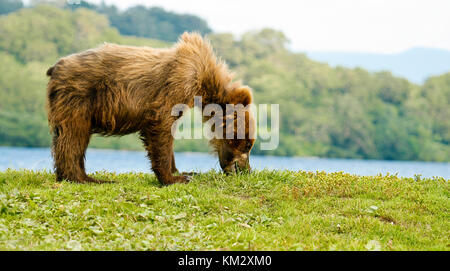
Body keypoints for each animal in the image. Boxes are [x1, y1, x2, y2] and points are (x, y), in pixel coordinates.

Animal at [47, 31, 256, 185]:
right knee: (74, 135)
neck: (204, 78)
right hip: (80, 96)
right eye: (247, 145)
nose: (247, 170)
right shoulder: (177, 82)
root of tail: (56, 67)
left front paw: (183, 171)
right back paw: (85, 178)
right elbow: (161, 123)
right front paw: (175, 178)